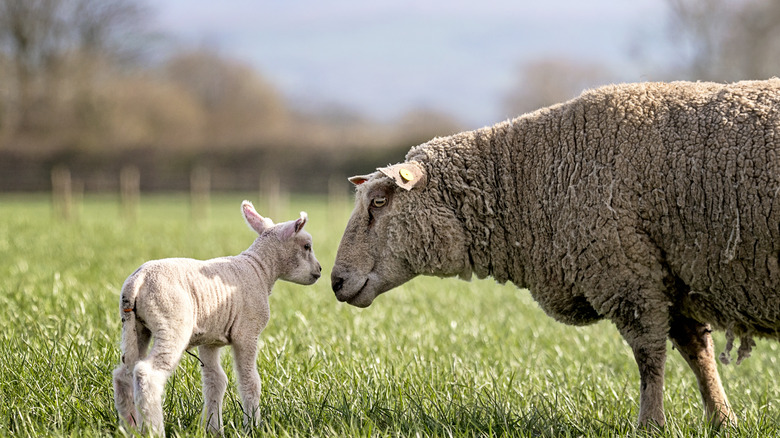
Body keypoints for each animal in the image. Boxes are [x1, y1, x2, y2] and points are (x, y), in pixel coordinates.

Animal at [110, 201, 320, 434]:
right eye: (307, 246)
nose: (319, 271)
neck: (260, 269)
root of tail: (138, 281)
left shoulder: (209, 339)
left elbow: (215, 381)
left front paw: (213, 428)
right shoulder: (247, 333)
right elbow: (249, 381)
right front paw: (252, 427)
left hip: (135, 327)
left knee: (123, 374)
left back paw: (129, 428)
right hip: (171, 323)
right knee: (147, 374)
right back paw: (154, 430)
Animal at [330, 78, 780, 428]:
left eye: (380, 202)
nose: (335, 281)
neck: (531, 180)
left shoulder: (627, 274)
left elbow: (649, 358)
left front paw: (650, 425)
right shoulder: (670, 274)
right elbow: (698, 355)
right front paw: (723, 420)